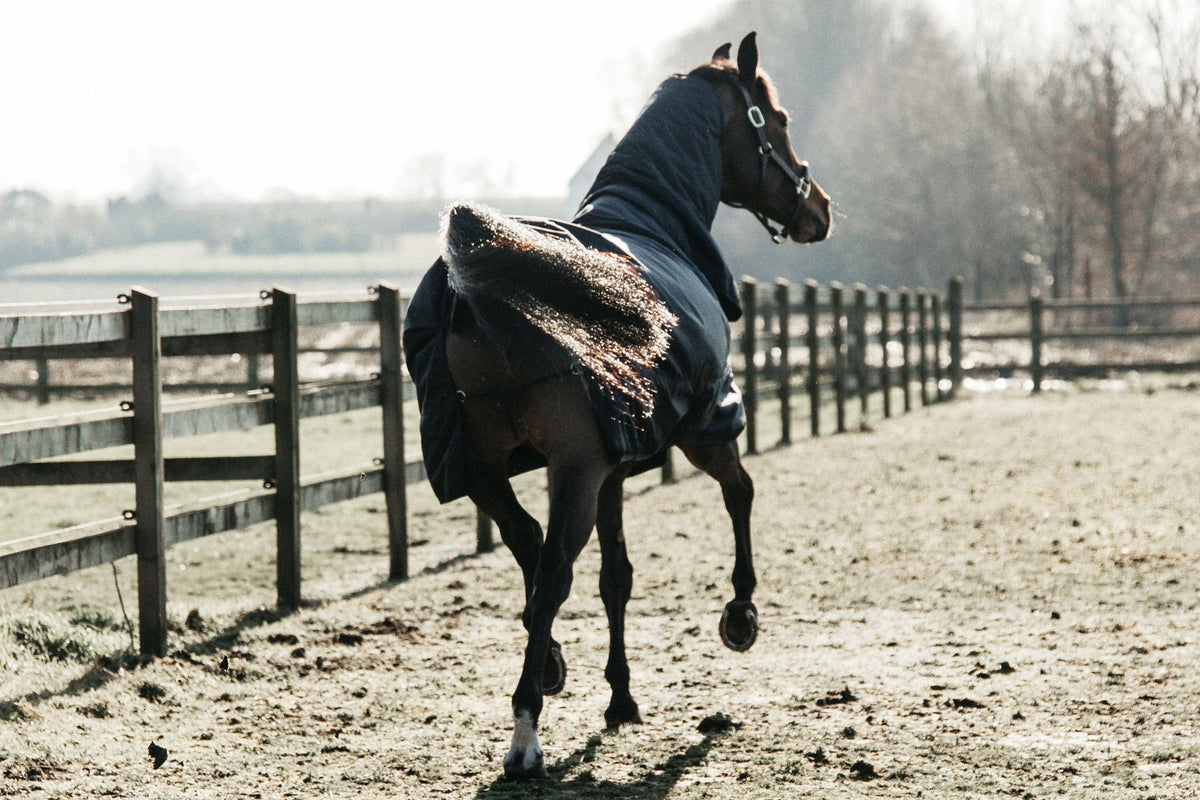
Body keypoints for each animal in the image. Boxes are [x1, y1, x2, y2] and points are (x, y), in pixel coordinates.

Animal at [402, 32, 831, 779]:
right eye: (775, 120)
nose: (820, 209)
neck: (650, 219)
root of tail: (478, 283)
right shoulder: (703, 427)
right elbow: (741, 495)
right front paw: (740, 614)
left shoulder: (613, 467)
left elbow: (617, 578)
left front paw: (621, 698)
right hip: (575, 468)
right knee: (551, 572)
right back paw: (524, 735)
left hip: (483, 469)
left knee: (529, 548)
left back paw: (548, 666)